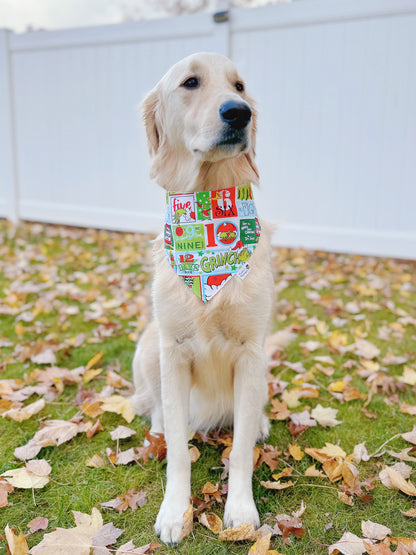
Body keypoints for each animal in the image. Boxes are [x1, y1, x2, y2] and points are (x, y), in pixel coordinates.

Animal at [132, 50, 272, 544]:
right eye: (190, 82)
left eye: (240, 85)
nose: (239, 112)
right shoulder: (172, 350)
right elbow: (177, 450)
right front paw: (176, 512)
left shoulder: (250, 352)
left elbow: (242, 449)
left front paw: (242, 511)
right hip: (147, 348)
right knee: (158, 409)